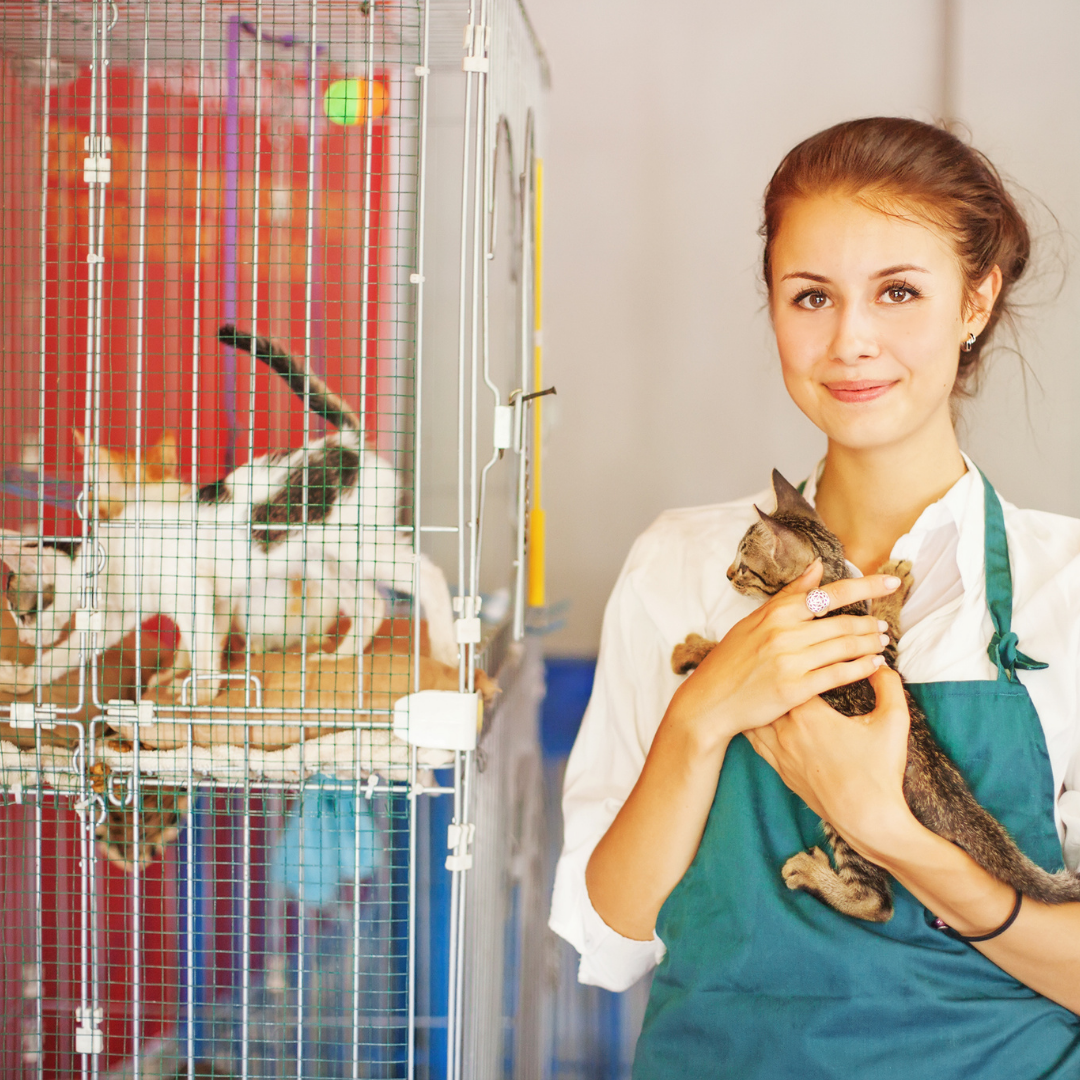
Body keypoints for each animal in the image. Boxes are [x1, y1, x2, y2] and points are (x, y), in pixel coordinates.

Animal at [669, 468, 1080, 924]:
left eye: (744, 565)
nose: (727, 574)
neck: (828, 594)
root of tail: (948, 794)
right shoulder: (879, 649)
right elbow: (885, 627)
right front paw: (891, 589)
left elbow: (721, 650)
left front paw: (692, 649)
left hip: (845, 821)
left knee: (877, 902)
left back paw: (816, 877)